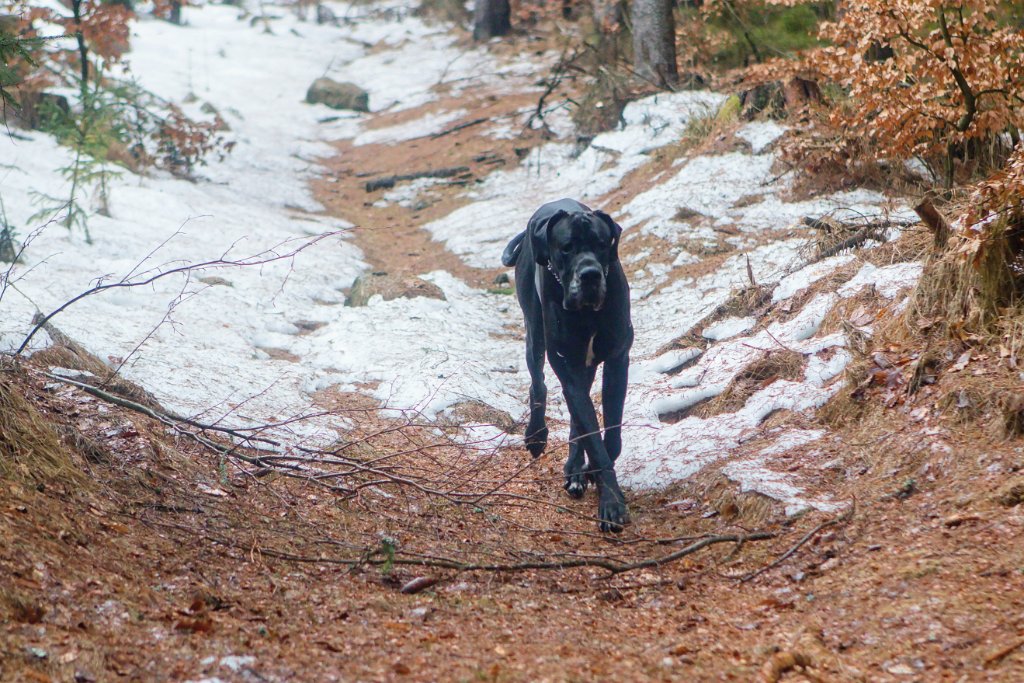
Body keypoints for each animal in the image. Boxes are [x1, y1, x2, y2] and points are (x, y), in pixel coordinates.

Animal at [497, 197, 630, 532]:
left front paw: (592, 474)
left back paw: (575, 470)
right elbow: (591, 434)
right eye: (567, 247)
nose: (590, 275)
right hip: (535, 333)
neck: (587, 314)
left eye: (601, 244)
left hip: (586, 364)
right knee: (538, 383)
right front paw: (611, 503)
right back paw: (537, 436)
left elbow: (608, 435)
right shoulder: (567, 366)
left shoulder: (617, 360)